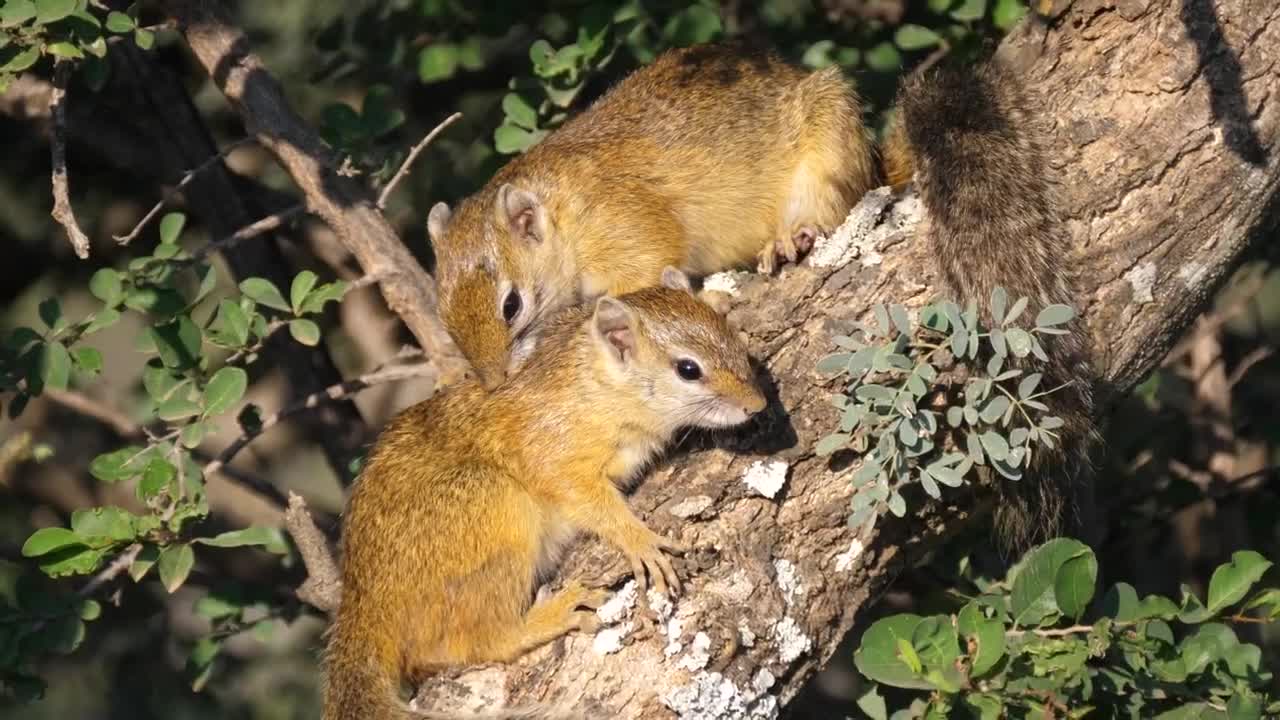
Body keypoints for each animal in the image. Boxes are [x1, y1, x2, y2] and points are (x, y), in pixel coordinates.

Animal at [322, 269, 767, 720]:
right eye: (688, 369)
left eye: (730, 334)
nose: (757, 405)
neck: (593, 381)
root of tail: (365, 601)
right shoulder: (552, 448)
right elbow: (585, 497)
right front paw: (639, 541)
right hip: (494, 502)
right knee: (470, 643)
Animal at [426, 41, 877, 389]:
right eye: (443, 316)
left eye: (511, 305)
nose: (493, 382)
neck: (566, 217)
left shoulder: (628, 232)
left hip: (828, 140)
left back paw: (791, 236)